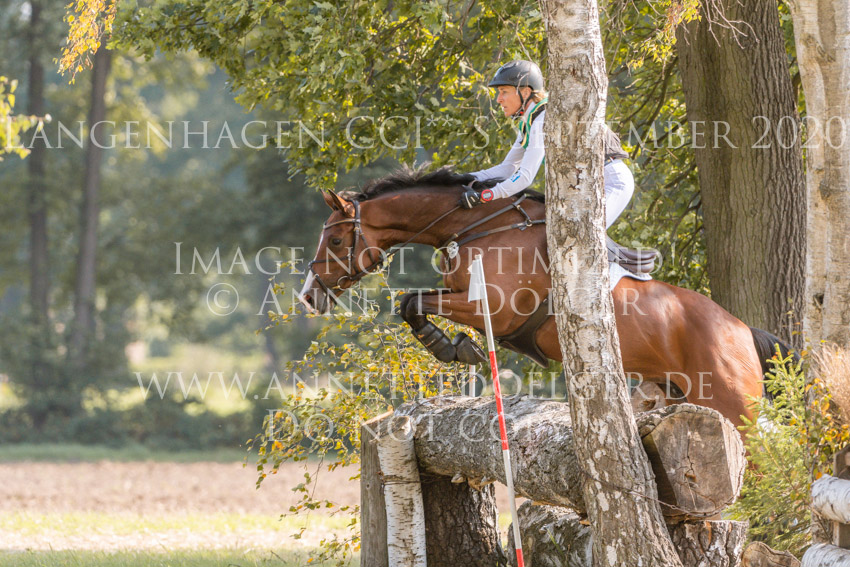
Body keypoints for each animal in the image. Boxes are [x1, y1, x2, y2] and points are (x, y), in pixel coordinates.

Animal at [298, 167, 792, 429]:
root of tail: (742, 330)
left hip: (733, 403)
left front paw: (452, 348)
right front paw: (452, 347)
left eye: (337, 241)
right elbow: (410, 301)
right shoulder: (463, 296)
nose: (308, 297)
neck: (479, 227)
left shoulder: (494, 310)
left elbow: (413, 302)